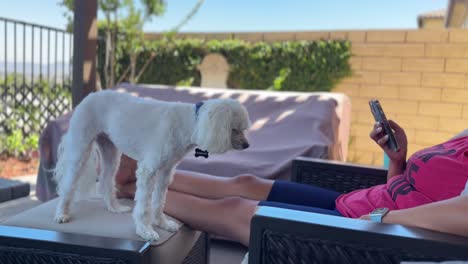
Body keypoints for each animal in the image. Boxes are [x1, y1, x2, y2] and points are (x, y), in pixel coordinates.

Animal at [52, 89, 250, 240]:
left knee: (106, 181)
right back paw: (61, 213)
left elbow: (159, 201)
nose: (247, 145)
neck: (191, 123)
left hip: (110, 152)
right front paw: (145, 230)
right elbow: (143, 206)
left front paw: (161, 223)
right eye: (234, 129)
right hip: (80, 149)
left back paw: (114, 207)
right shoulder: (148, 171)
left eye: (243, 129)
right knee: (67, 185)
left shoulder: (165, 172)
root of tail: (90, 96)